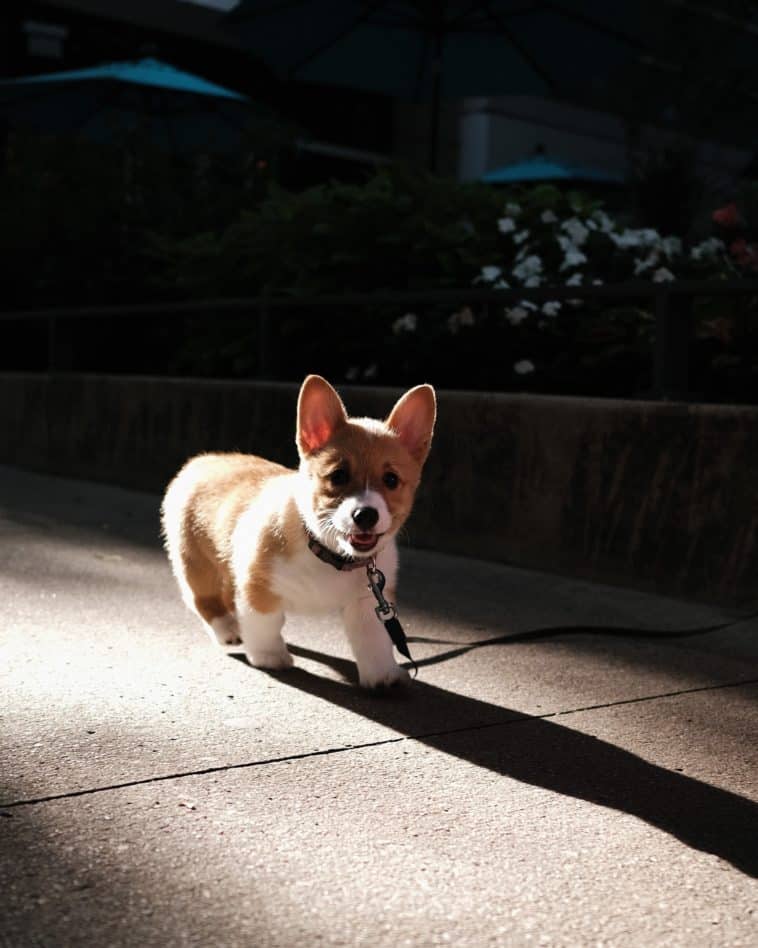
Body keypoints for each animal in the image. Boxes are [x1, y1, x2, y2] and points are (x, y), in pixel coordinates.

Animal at [163, 378, 436, 688]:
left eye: (391, 480)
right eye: (338, 476)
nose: (366, 515)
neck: (326, 552)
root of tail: (200, 461)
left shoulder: (368, 603)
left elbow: (374, 642)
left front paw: (383, 676)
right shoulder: (259, 586)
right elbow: (265, 625)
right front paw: (270, 656)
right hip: (196, 561)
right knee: (202, 598)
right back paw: (228, 629)